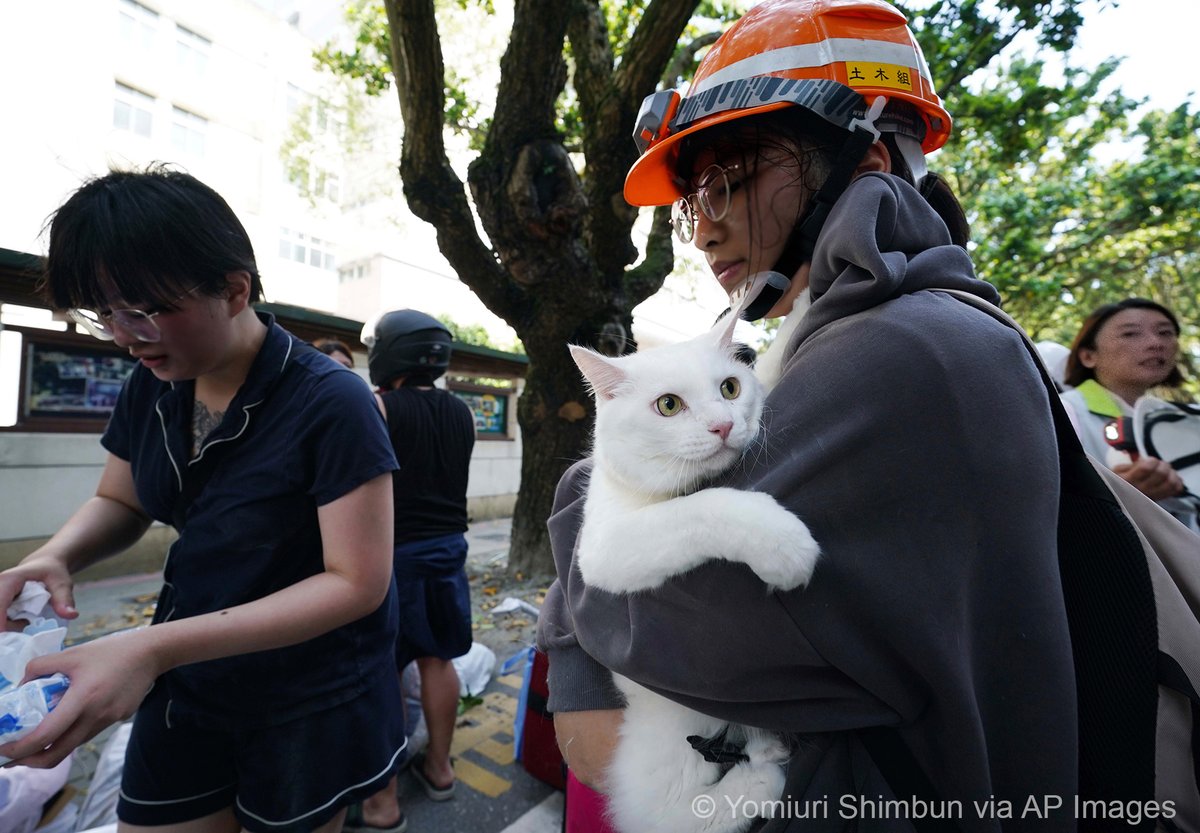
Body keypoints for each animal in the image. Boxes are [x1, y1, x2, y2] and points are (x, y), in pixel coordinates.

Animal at [566, 314, 820, 833]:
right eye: (668, 405)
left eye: (730, 388)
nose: (724, 425)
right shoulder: (606, 550)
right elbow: (701, 508)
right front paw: (782, 542)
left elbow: (773, 359)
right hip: (668, 752)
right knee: (668, 815)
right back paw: (760, 777)